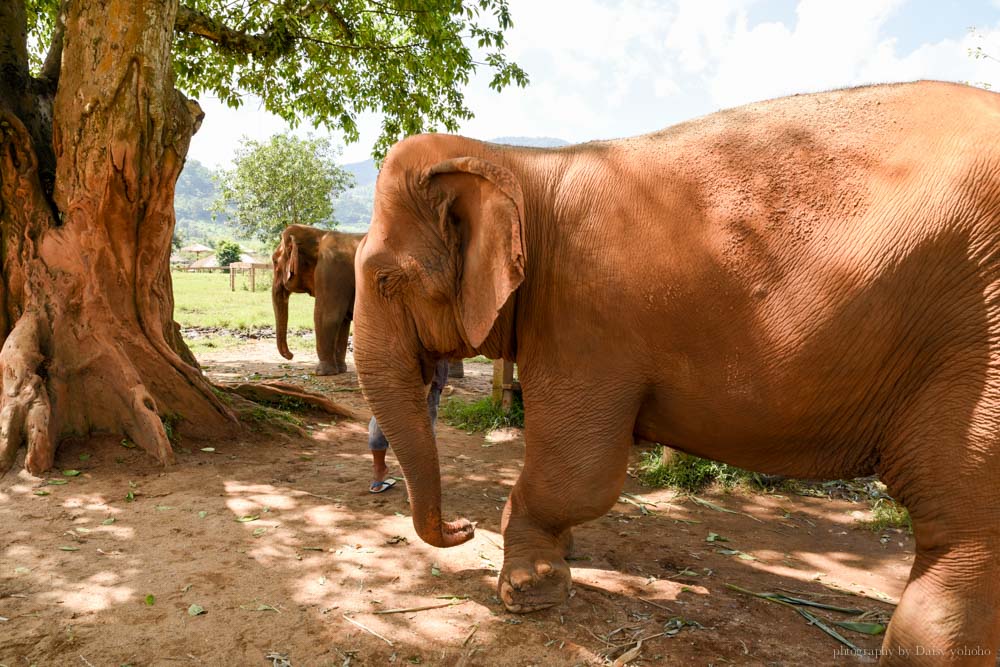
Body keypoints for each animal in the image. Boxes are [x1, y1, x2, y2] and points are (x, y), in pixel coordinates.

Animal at [272, 226, 366, 376]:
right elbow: (343, 321)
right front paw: (340, 370)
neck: (318, 234)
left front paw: (322, 373)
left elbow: (327, 317)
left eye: (275, 261)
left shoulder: (331, 270)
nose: (291, 356)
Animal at [354, 81, 1000, 664]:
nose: (463, 526)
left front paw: (529, 591)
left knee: (961, 519)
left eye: (386, 279)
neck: (516, 163)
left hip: (979, 345)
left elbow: (581, 472)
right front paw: (562, 556)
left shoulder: (587, 320)